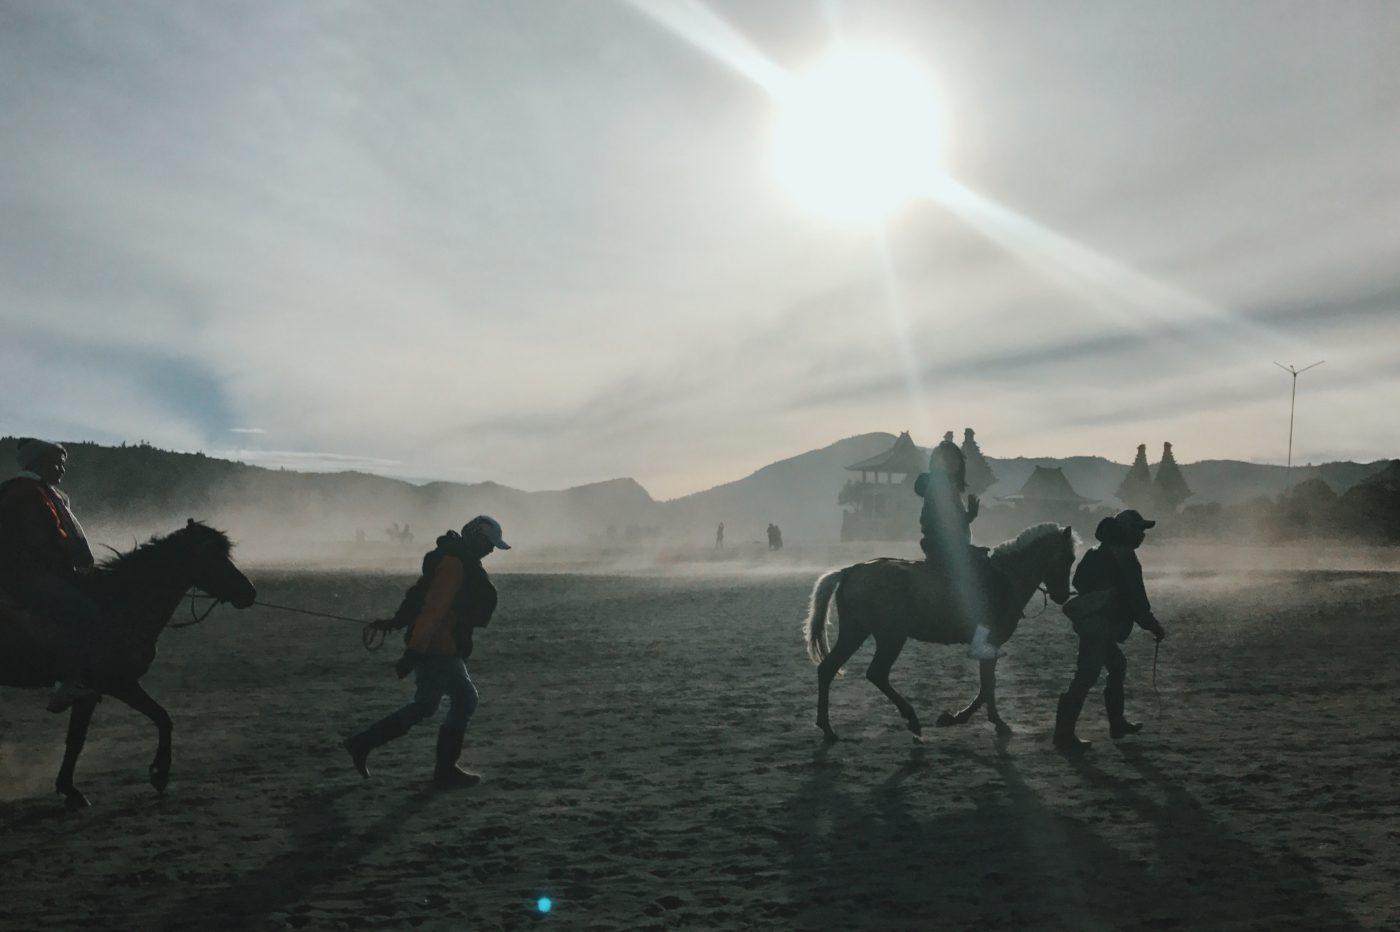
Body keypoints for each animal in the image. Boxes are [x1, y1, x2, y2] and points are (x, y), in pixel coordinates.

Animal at [0, 517, 254, 800]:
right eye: (210, 555)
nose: (249, 592)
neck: (118, 605)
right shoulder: (111, 685)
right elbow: (80, 738)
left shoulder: (109, 687)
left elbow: (160, 718)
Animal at [806, 523, 1075, 738]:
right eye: (1069, 558)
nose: (1062, 595)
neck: (1006, 578)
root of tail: (851, 570)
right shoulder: (991, 642)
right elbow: (987, 686)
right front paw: (960, 718)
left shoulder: (991, 646)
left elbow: (988, 684)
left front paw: (990, 720)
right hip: (891, 636)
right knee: (877, 673)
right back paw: (911, 719)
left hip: (856, 632)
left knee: (828, 669)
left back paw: (827, 728)